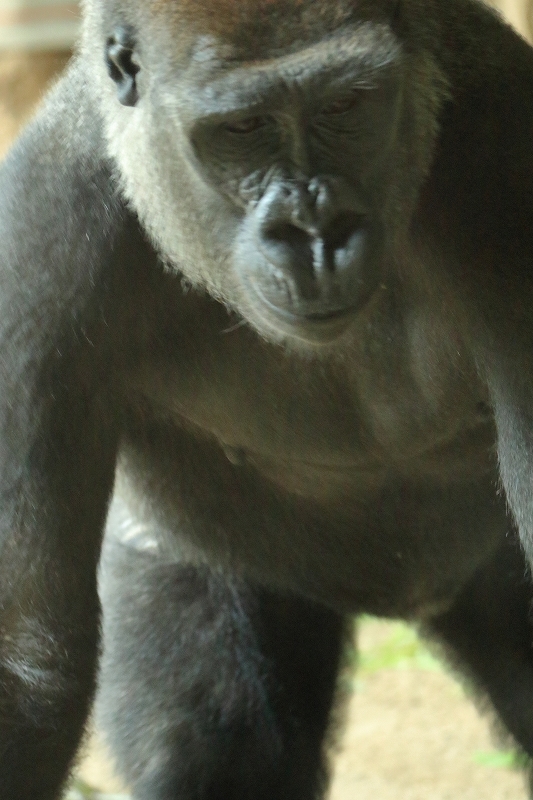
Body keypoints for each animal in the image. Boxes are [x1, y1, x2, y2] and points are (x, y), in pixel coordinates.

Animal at [2, 0, 532, 796]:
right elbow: (24, 665)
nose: (314, 233)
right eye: (243, 128)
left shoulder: (508, 162)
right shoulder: (38, 236)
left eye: (345, 105)